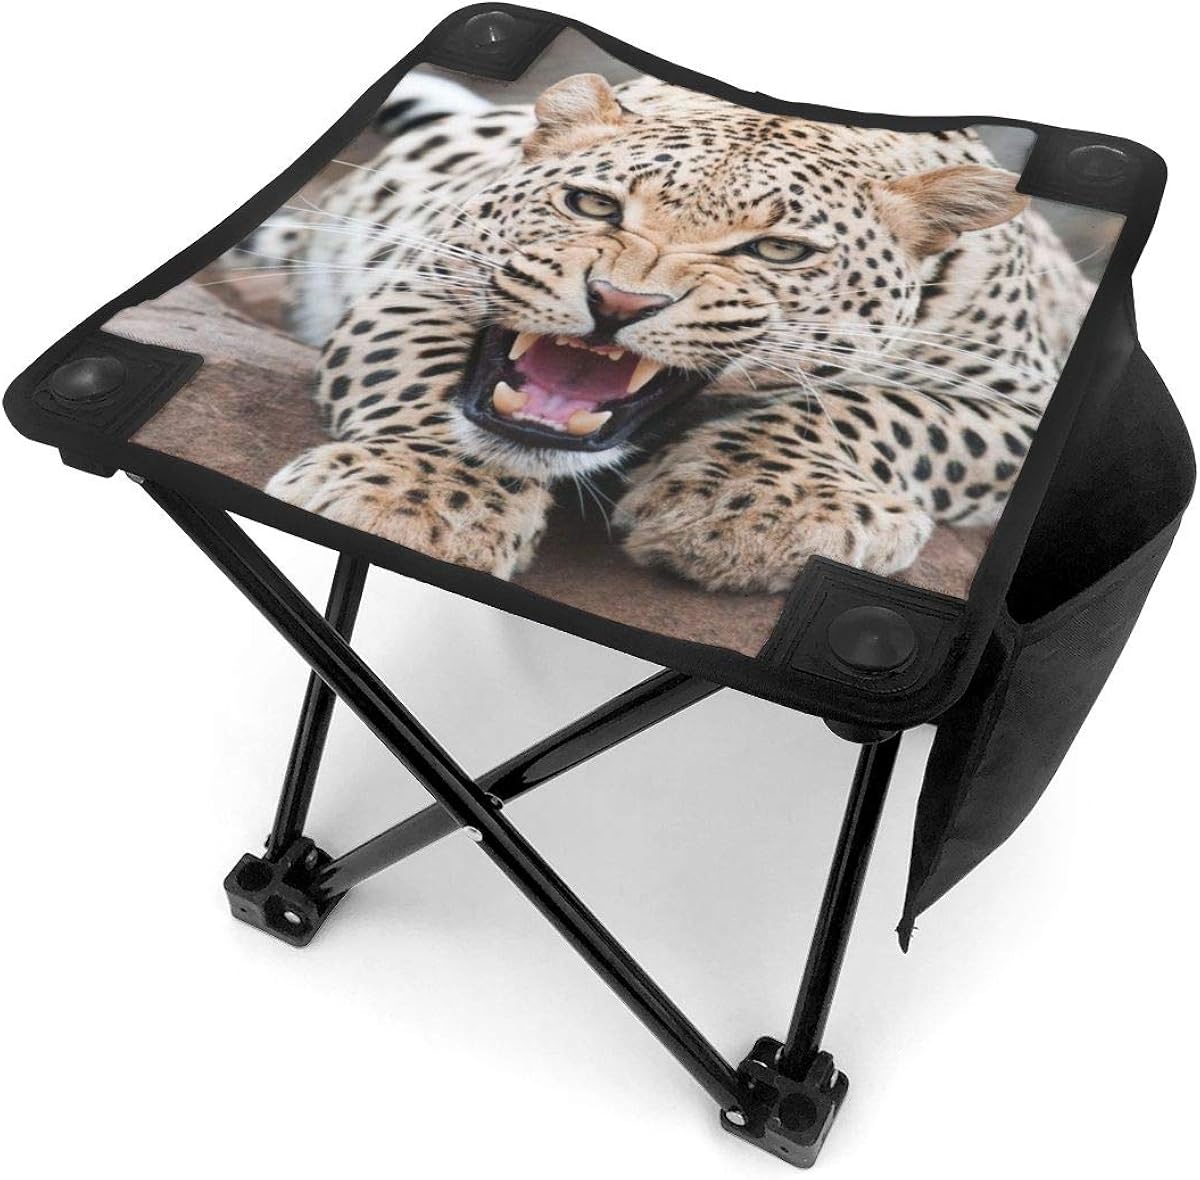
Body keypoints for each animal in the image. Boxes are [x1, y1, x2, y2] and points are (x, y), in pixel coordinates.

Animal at [249, 72, 1093, 593]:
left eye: (776, 251)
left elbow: (873, 410)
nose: (618, 302)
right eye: (593, 205)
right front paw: (417, 501)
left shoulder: (1022, 405)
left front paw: (747, 507)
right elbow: (424, 382)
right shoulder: (419, 276)